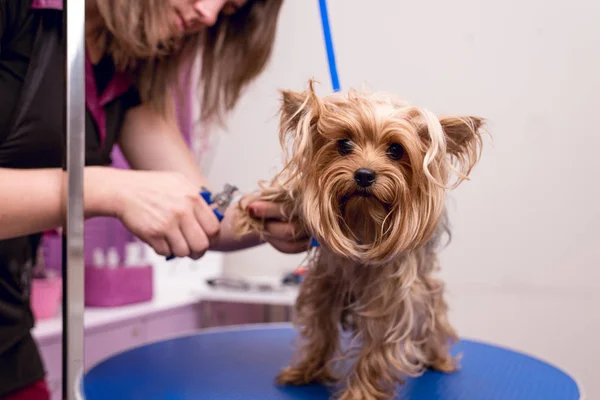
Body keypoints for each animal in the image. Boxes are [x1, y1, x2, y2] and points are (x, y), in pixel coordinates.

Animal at [232, 79, 486, 398]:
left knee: (434, 318)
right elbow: (321, 329)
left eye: (395, 150)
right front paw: (307, 370)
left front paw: (360, 392)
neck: (363, 220)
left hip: (426, 289)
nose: (364, 174)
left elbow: (376, 349)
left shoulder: (390, 297)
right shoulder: (324, 284)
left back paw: (440, 359)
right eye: (344, 144)